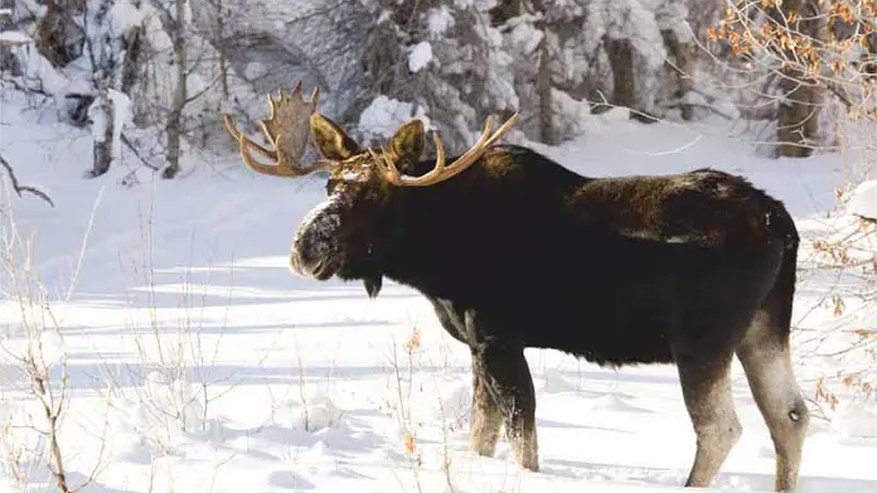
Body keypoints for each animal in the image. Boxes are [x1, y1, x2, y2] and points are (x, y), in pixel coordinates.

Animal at [224, 83, 808, 488]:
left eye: (373, 196)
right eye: (329, 184)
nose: (305, 249)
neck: (431, 258)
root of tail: (780, 221)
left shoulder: (499, 337)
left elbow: (521, 438)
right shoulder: (477, 344)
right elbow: (483, 433)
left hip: (702, 339)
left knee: (722, 428)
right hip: (763, 329)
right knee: (791, 416)